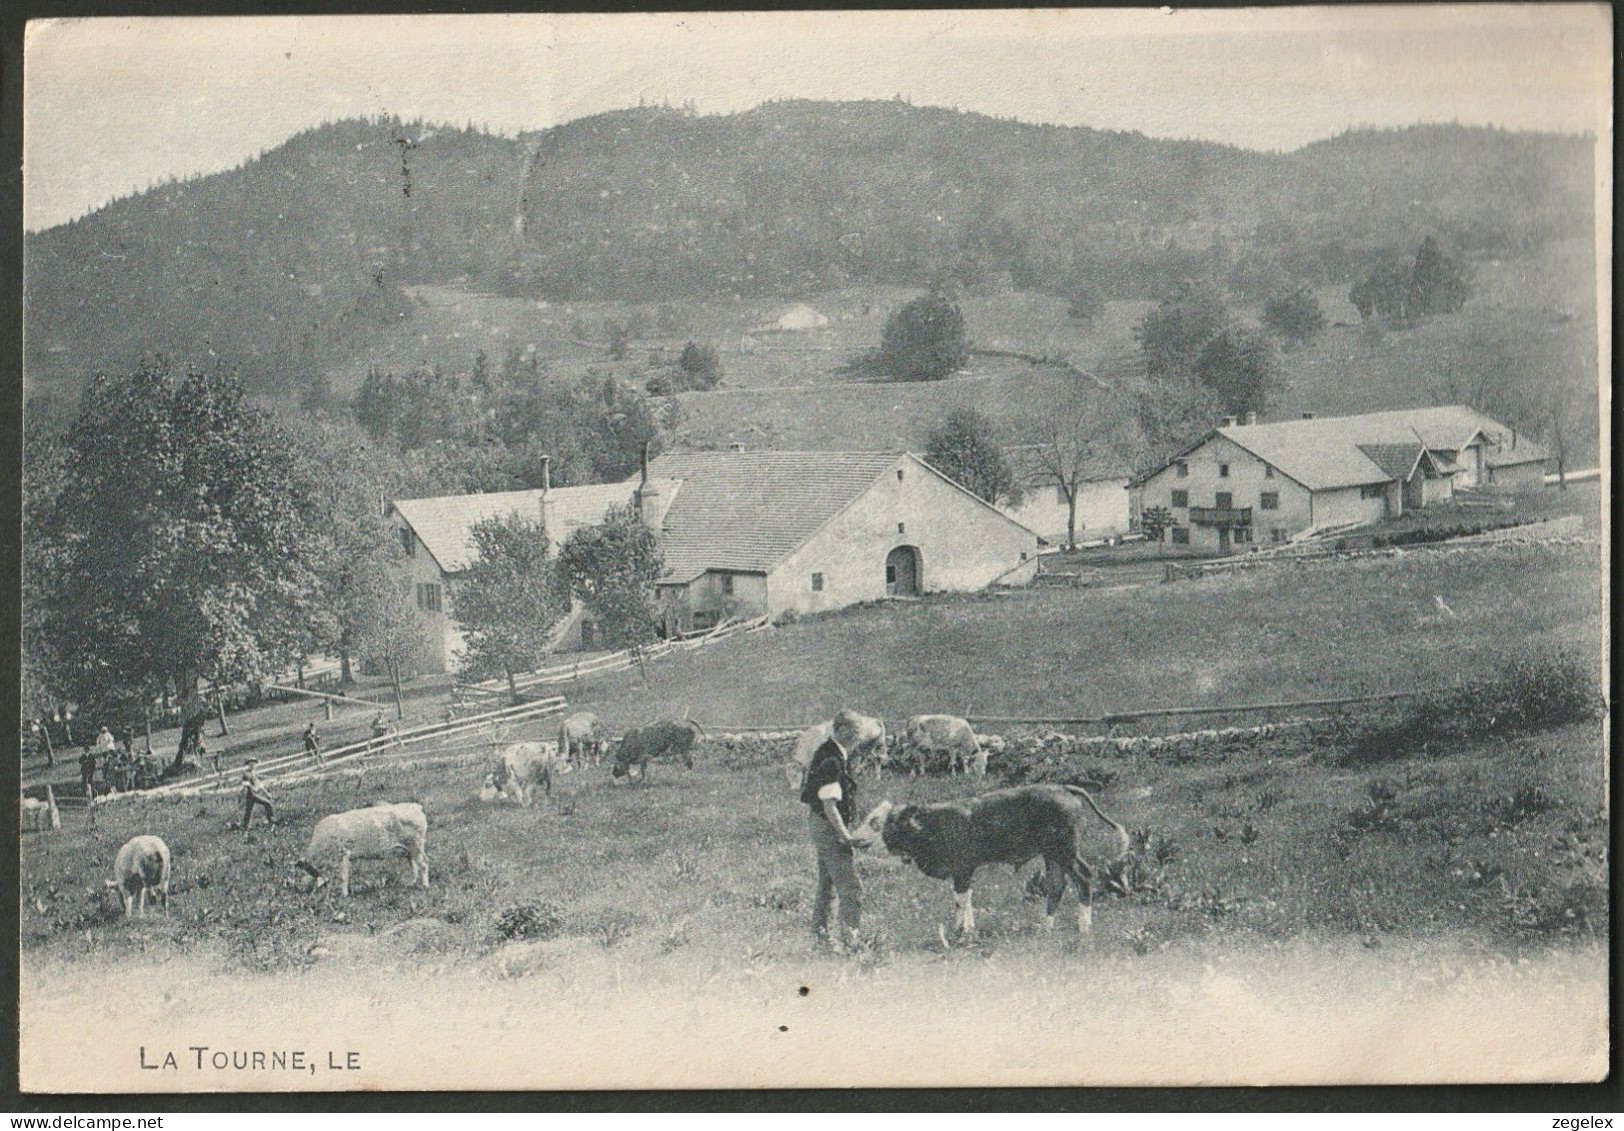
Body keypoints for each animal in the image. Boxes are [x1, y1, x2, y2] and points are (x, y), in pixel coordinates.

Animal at [295, 799, 428, 897]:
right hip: (408, 849)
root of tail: (417, 807)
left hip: (416, 844)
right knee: (413, 865)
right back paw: (410, 884)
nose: (305, 891)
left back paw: (425, 886)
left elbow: (343, 877)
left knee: (423, 863)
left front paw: (344, 895)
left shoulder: (343, 853)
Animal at [850, 786, 1130, 936]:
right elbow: (964, 899)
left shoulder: (963, 867)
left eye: (876, 822)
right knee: (1056, 886)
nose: (854, 838)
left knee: (1083, 877)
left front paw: (960, 933)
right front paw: (966, 929)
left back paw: (1083, 927)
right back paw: (1045, 928)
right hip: (1053, 854)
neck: (931, 825)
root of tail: (1062, 787)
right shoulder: (961, 871)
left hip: (1065, 850)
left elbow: (962, 900)